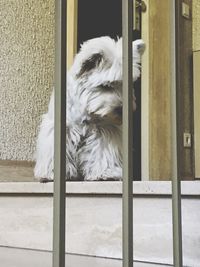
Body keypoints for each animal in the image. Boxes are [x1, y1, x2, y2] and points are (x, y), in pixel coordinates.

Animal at [33, 36, 145, 182]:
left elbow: (103, 152)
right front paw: (52, 173)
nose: (122, 110)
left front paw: (106, 173)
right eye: (105, 86)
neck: (87, 110)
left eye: (127, 85)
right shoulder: (61, 127)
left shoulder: (105, 130)